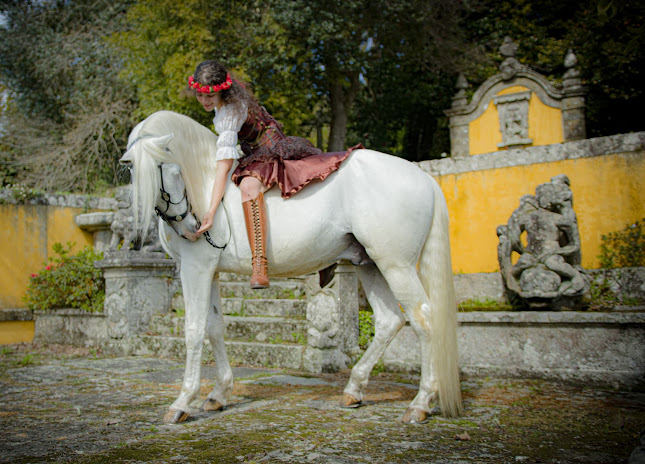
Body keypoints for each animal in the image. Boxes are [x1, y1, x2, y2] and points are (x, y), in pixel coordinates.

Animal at [121, 109, 462, 424]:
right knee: (390, 320)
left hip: (396, 266)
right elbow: (215, 327)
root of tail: (424, 177)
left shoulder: (195, 269)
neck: (207, 185)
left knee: (424, 319)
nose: (194, 227)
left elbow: (193, 330)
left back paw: (420, 403)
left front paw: (182, 401)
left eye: (168, 166)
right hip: (371, 264)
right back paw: (354, 389)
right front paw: (219, 393)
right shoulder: (211, 271)